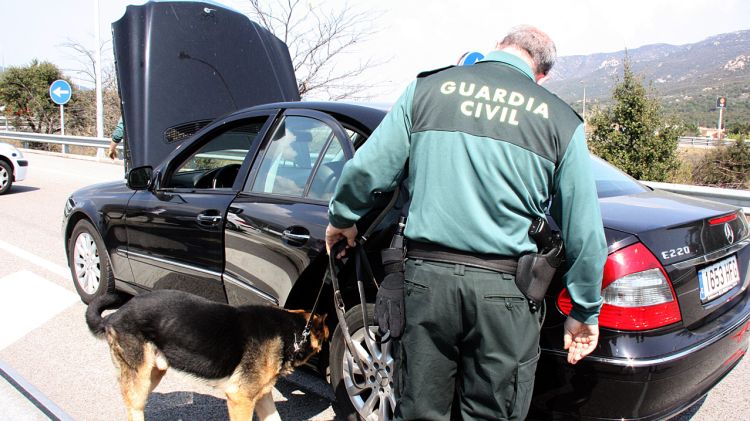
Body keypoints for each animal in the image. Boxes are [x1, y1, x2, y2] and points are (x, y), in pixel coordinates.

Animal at [86, 288, 328, 420]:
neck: (293, 332)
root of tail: (114, 315)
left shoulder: (261, 396)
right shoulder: (240, 399)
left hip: (153, 374)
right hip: (140, 378)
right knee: (134, 408)